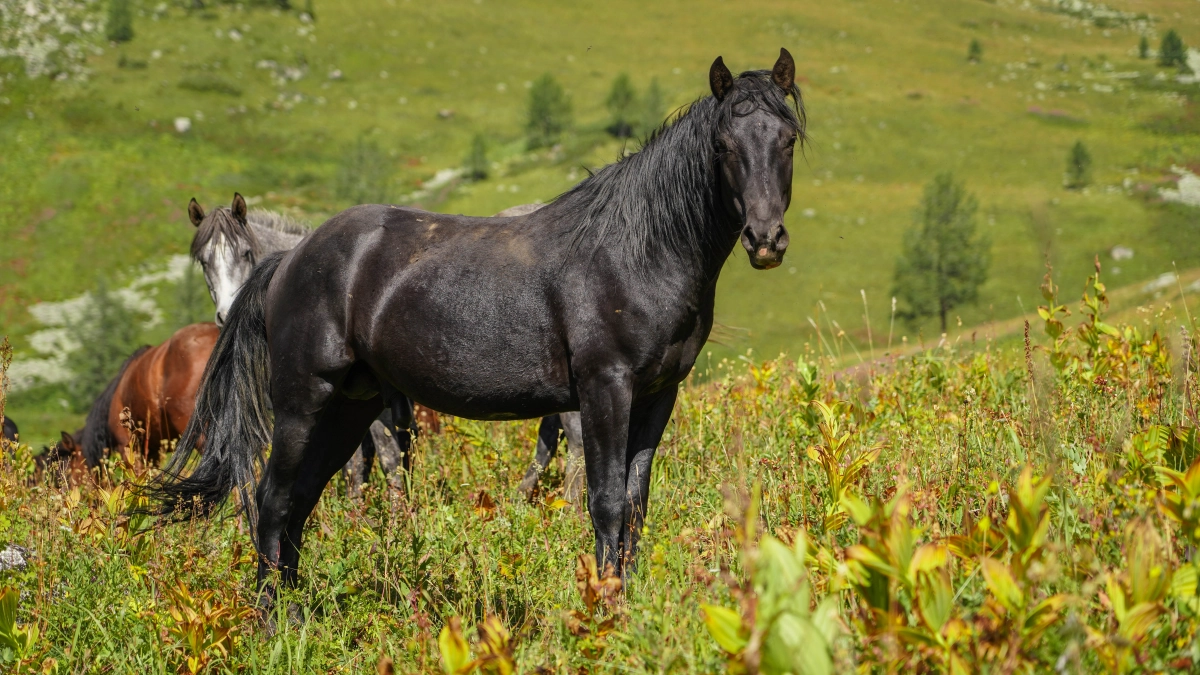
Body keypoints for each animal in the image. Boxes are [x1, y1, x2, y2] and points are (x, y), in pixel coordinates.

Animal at [152, 48, 806, 605]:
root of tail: (288, 261)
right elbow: (605, 503)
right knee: (273, 502)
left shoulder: (656, 396)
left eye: (787, 140)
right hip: (303, 403)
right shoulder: (606, 390)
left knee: (299, 503)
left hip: (348, 407)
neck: (635, 250)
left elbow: (635, 504)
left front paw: (627, 604)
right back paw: (274, 623)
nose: (765, 240)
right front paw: (604, 610)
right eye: (723, 144)